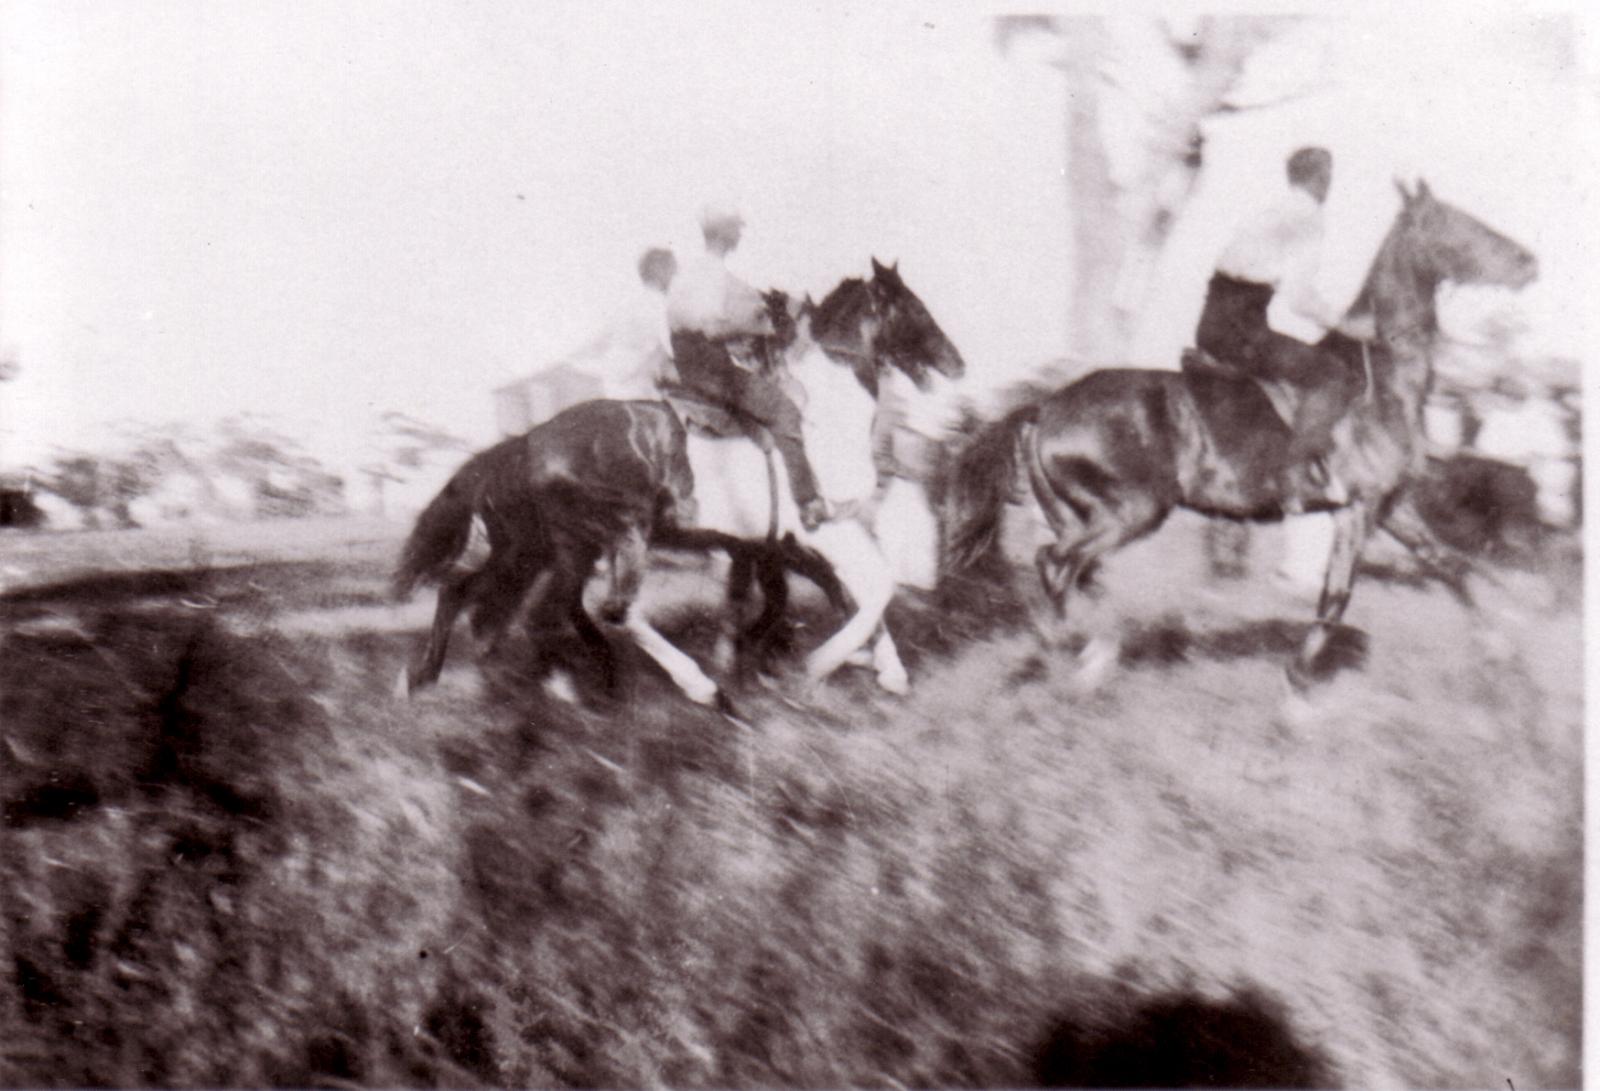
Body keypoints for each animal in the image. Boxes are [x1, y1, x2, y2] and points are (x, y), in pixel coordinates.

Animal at [947, 180, 1536, 687]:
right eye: (1454, 222)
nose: (1529, 262)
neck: (1381, 379)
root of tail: (1046, 407)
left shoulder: (1391, 507)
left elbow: (1450, 564)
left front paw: (1501, 647)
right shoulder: (1357, 509)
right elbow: (1336, 596)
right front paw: (1297, 694)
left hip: (1079, 514)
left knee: (1075, 573)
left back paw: (1093, 652)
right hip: (1131, 509)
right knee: (1055, 565)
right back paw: (1065, 658)